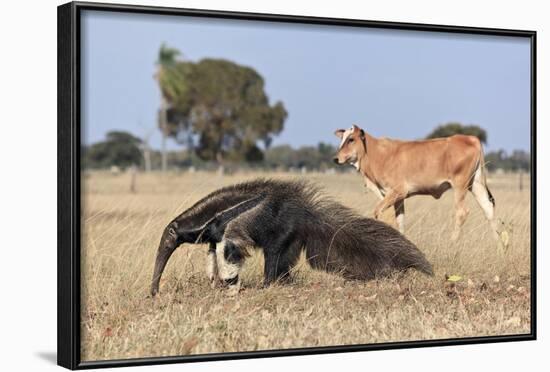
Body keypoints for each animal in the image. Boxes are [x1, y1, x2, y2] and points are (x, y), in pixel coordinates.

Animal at [332, 125, 504, 246]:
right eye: (342, 139)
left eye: (351, 139)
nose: (336, 159)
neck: (377, 154)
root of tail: (471, 138)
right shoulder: (398, 198)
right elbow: (400, 221)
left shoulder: (397, 192)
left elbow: (378, 212)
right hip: (476, 184)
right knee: (488, 208)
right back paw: (498, 246)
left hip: (460, 186)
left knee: (462, 212)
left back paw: (453, 242)